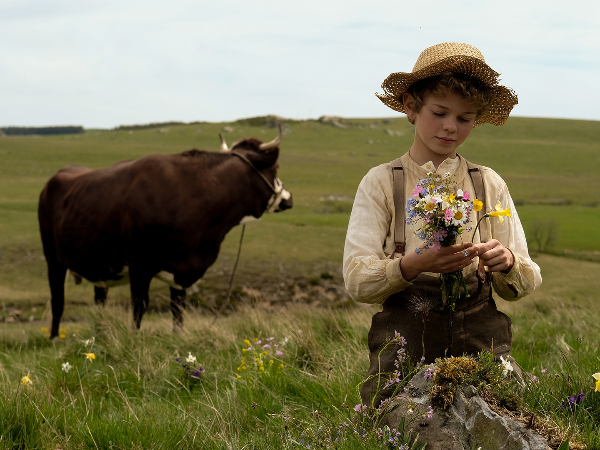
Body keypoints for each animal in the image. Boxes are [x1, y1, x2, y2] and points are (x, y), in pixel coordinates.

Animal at [38, 128, 292, 336]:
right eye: (275, 168)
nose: (288, 200)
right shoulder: (139, 263)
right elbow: (139, 306)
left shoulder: (183, 270)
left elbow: (178, 310)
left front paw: (178, 339)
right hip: (53, 258)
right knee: (58, 300)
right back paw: (54, 339)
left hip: (100, 264)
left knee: (100, 301)